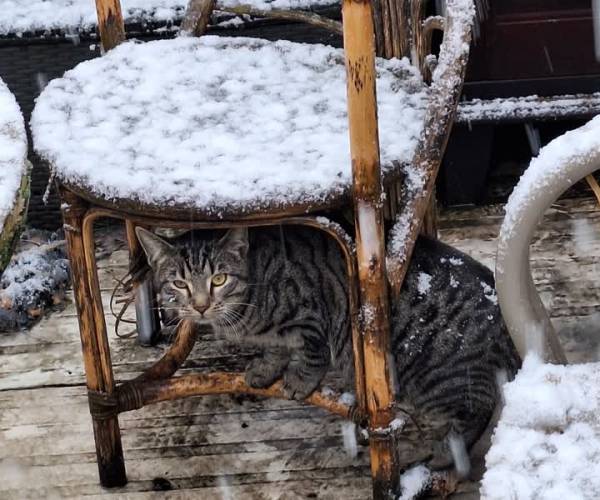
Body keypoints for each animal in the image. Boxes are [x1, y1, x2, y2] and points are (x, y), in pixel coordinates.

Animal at [136, 227, 520, 472]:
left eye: (219, 279)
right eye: (179, 283)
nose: (200, 306)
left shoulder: (312, 314)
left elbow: (310, 353)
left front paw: (298, 381)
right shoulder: (272, 336)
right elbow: (274, 350)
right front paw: (264, 370)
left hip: (434, 377)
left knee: (479, 410)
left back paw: (445, 455)